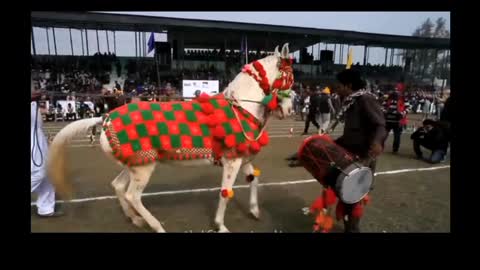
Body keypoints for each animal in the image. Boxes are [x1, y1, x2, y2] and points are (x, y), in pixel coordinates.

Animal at [49, 42, 296, 232]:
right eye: (291, 76)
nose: (289, 110)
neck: (240, 107)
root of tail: (106, 118)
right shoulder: (232, 161)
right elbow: (226, 193)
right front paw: (220, 225)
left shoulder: (242, 157)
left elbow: (254, 180)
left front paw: (254, 210)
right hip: (143, 168)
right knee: (132, 195)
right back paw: (156, 225)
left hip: (136, 163)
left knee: (118, 186)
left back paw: (136, 219)